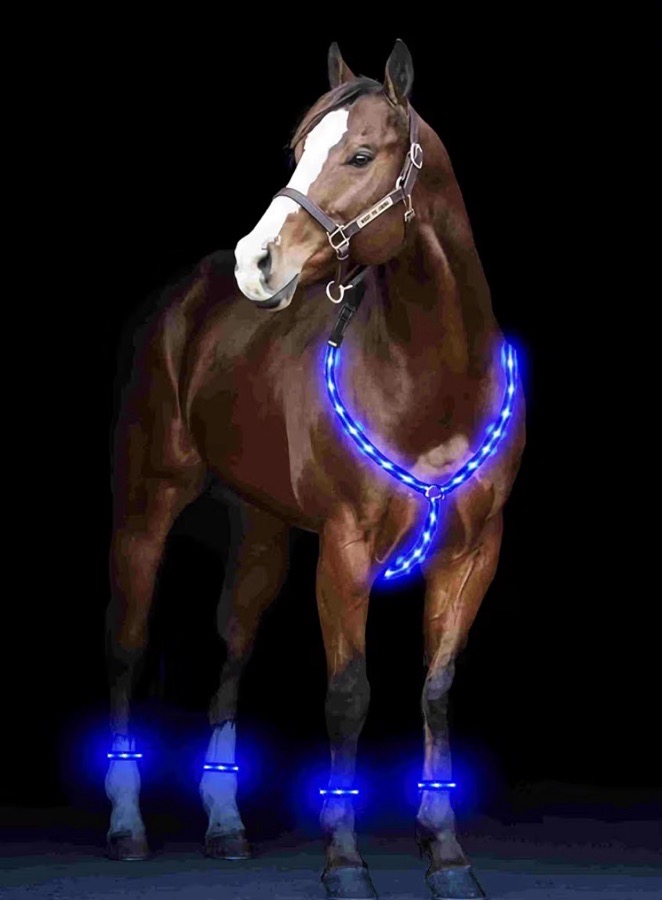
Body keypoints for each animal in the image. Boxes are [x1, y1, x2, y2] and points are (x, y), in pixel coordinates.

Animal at [105, 39, 525, 900]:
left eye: (361, 154)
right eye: (299, 149)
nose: (255, 263)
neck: (433, 386)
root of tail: (183, 300)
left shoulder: (474, 553)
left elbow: (436, 693)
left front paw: (447, 856)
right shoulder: (345, 549)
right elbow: (348, 695)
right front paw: (345, 862)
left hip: (262, 531)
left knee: (232, 653)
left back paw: (225, 828)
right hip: (146, 503)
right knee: (128, 648)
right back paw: (127, 827)